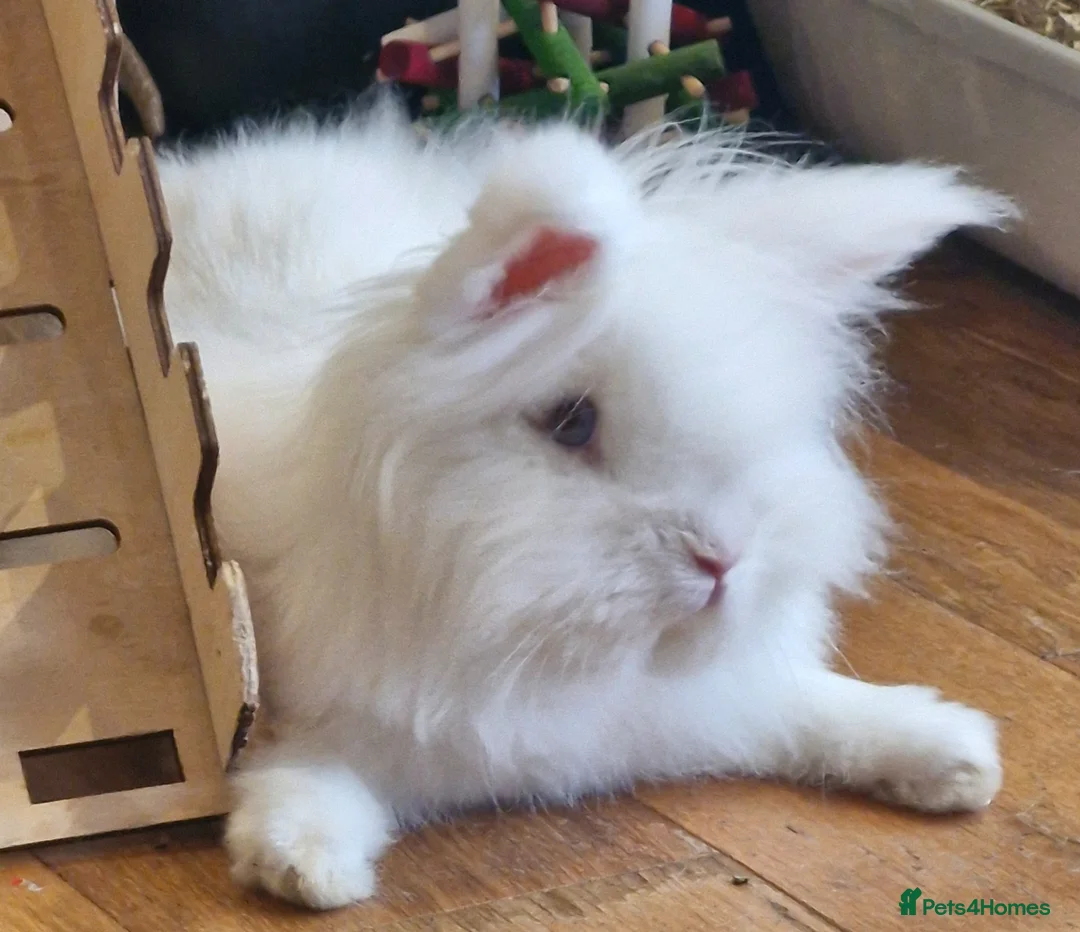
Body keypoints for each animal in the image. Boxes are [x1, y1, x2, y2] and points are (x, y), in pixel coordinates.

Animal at [157, 98, 1014, 910]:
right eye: (572, 423)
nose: (722, 559)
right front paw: (305, 860)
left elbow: (806, 707)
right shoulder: (314, 711)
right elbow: (306, 770)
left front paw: (954, 756)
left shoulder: (713, 698)